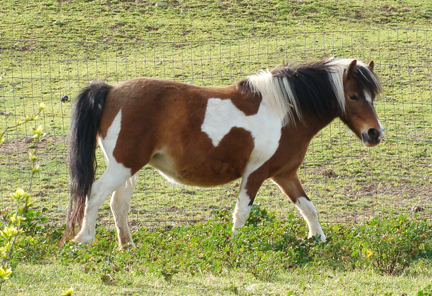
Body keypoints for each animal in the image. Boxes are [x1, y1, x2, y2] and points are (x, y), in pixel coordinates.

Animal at [60, 57, 382, 247]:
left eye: (372, 96)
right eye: (353, 95)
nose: (375, 133)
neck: (284, 111)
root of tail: (112, 90)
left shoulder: (285, 174)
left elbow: (308, 206)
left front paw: (318, 239)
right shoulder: (256, 174)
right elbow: (242, 212)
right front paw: (235, 246)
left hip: (127, 168)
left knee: (118, 203)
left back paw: (127, 246)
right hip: (123, 166)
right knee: (95, 193)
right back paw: (84, 239)